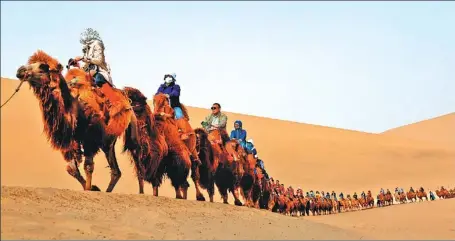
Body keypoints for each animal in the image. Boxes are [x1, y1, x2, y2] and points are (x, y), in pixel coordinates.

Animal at [14, 50, 139, 192]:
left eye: (43, 67)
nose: (20, 70)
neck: (75, 107)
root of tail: (128, 106)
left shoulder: (90, 139)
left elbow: (88, 166)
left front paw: (90, 189)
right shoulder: (70, 140)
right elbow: (72, 169)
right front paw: (93, 187)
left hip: (108, 137)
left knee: (114, 169)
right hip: (107, 141)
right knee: (116, 171)